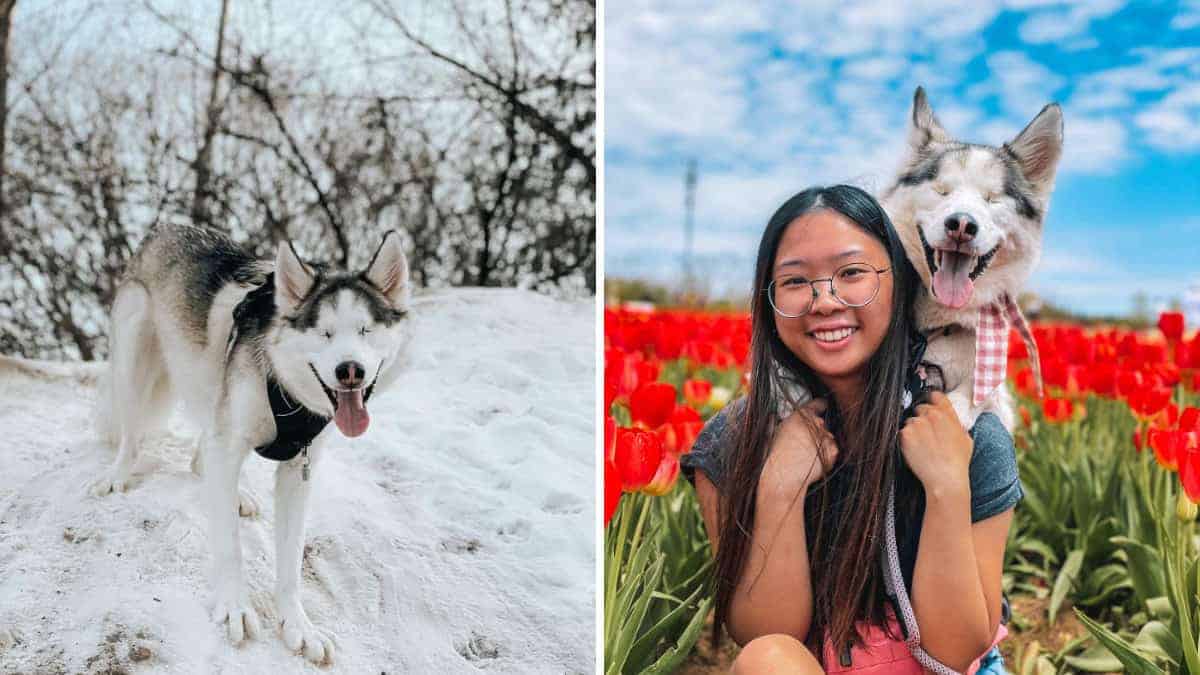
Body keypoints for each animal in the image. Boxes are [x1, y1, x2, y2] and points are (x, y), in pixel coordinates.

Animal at [92, 222, 412, 662]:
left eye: (366, 331)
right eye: (324, 333)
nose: (350, 370)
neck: (285, 385)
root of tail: (167, 228)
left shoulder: (299, 470)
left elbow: (291, 562)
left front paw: (298, 625)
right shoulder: (229, 444)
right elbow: (230, 547)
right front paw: (235, 608)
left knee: (201, 456)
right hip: (136, 357)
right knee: (133, 431)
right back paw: (118, 473)